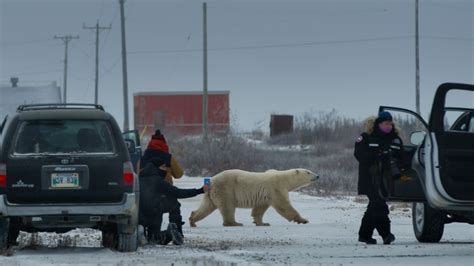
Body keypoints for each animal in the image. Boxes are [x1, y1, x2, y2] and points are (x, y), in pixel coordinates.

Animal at [189, 168, 318, 227]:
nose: (317, 176)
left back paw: (193, 220)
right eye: (308, 172)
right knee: (227, 206)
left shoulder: (265, 195)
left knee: (206, 206)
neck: (284, 179)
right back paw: (234, 223)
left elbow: (259, 208)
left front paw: (262, 223)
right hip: (226, 189)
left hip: (211, 194)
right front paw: (303, 220)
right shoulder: (276, 188)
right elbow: (283, 205)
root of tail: (211, 181)